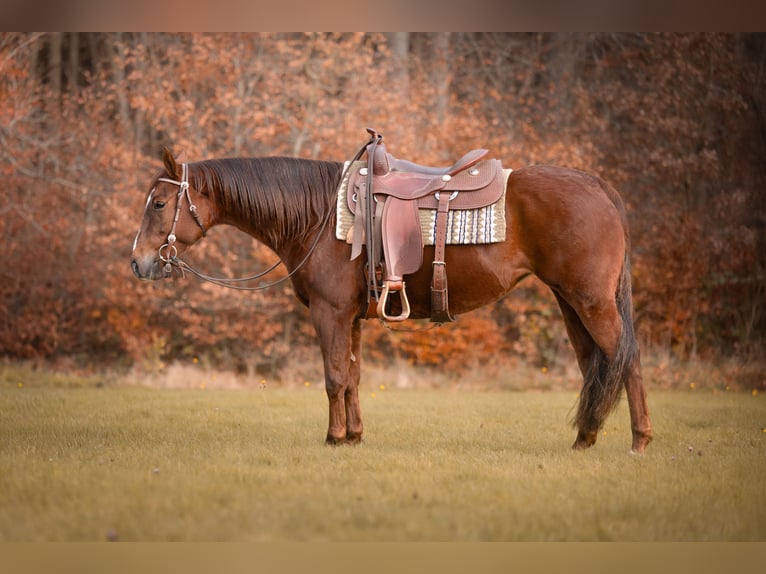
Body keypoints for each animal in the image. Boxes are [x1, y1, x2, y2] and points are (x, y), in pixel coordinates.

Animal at [130, 146, 653, 454]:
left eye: (159, 204)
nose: (138, 263)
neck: (319, 215)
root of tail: (598, 186)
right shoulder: (352, 318)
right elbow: (353, 377)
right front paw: (355, 436)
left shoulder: (330, 314)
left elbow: (333, 378)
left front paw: (334, 438)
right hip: (570, 302)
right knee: (594, 364)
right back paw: (585, 437)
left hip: (591, 301)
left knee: (625, 359)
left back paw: (640, 440)